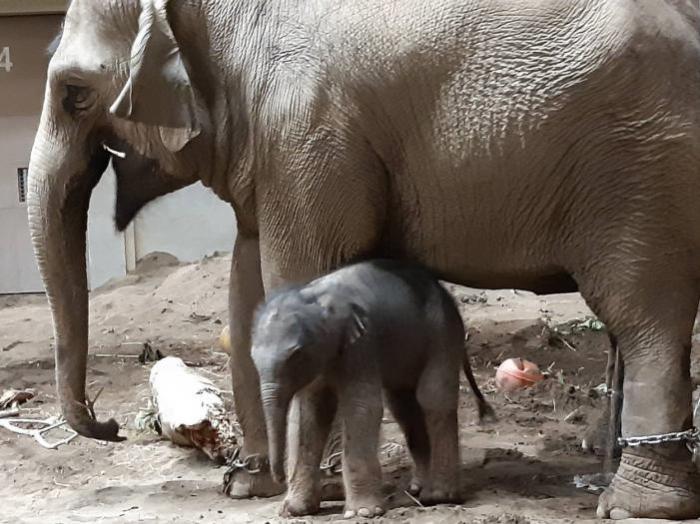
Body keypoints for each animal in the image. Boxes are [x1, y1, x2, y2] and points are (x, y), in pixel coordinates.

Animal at [252, 258, 492, 516]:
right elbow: (307, 414)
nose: (277, 478)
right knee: (404, 406)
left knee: (433, 397)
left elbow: (362, 407)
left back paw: (439, 496)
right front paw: (292, 510)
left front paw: (362, 513)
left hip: (442, 334)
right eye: (252, 357)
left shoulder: (362, 345)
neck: (317, 296)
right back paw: (418, 488)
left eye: (295, 354)